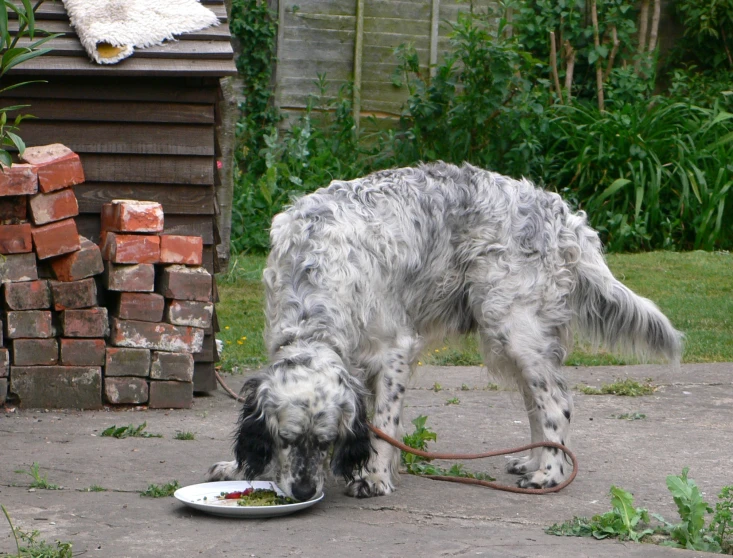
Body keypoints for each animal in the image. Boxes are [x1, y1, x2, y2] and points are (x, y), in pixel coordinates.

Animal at [204, 162, 680, 504]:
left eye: (327, 442)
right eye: (285, 439)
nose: (304, 491)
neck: (316, 272)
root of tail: (562, 216)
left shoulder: (392, 350)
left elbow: (383, 423)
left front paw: (374, 477)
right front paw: (240, 468)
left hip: (515, 330)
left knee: (556, 403)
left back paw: (549, 475)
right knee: (536, 405)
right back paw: (532, 462)